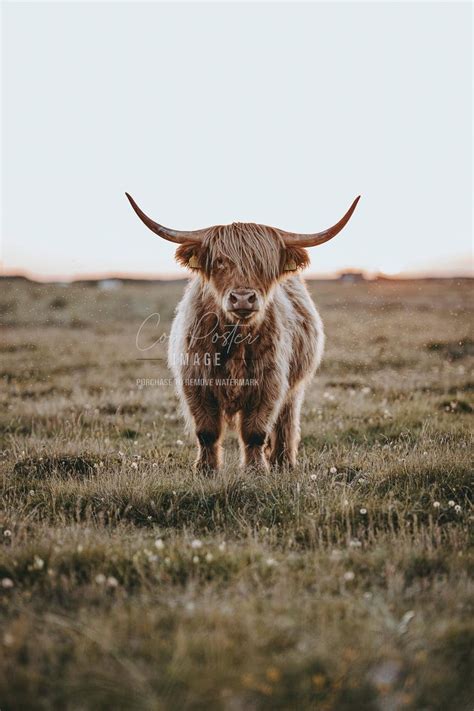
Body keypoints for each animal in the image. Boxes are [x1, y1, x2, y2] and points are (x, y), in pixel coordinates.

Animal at [126, 193, 360, 471]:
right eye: (219, 262)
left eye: (264, 265)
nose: (242, 299)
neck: (235, 338)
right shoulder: (195, 382)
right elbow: (207, 431)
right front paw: (206, 470)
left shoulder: (269, 382)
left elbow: (255, 432)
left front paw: (256, 470)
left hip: (294, 387)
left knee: (286, 420)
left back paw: (283, 462)